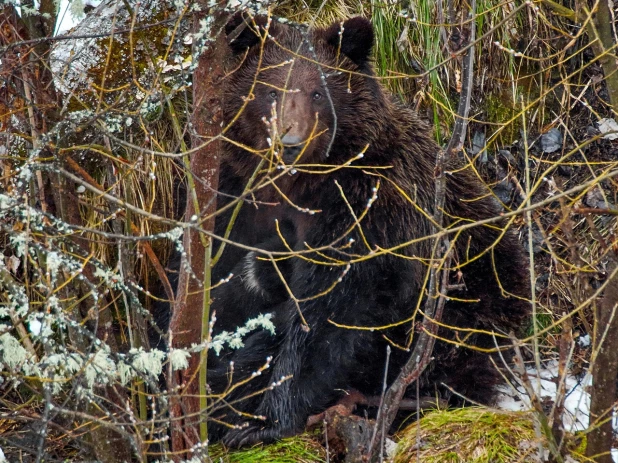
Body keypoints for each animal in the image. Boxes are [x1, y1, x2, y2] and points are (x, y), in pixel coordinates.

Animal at [206, 13, 524, 450]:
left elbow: (331, 312)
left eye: (318, 92)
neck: (300, 185)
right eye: (270, 89)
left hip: (472, 292)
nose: (290, 141)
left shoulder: (365, 210)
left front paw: (264, 420)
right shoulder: (236, 195)